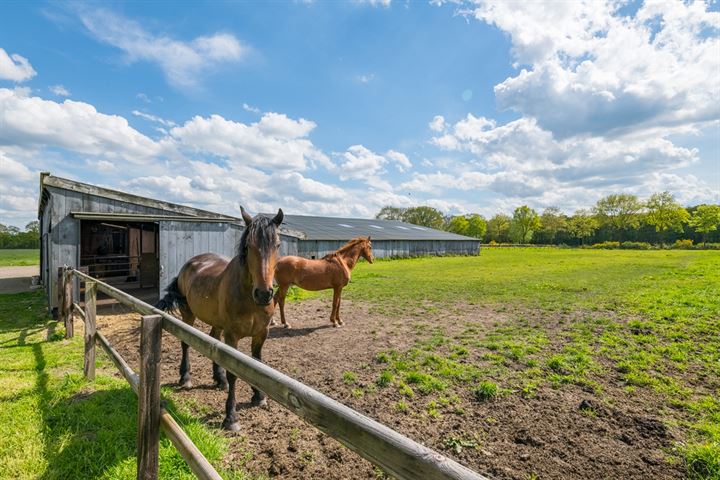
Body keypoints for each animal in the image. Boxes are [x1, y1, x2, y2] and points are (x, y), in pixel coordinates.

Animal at [158, 206, 284, 432]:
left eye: (276, 245)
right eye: (249, 246)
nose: (264, 294)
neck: (249, 296)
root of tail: (190, 263)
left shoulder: (262, 333)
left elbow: (257, 364)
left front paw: (258, 396)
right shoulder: (232, 335)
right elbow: (234, 372)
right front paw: (231, 417)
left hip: (217, 324)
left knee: (213, 340)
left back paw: (219, 379)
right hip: (188, 315)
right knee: (185, 343)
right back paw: (185, 377)